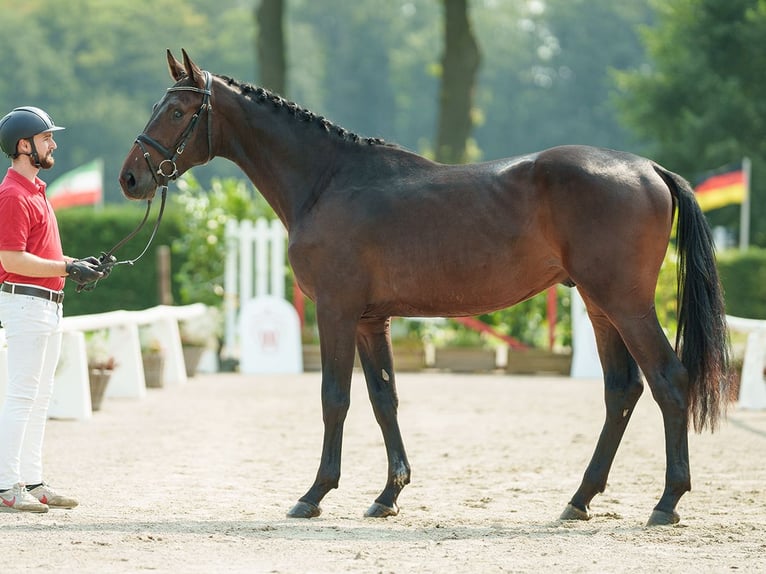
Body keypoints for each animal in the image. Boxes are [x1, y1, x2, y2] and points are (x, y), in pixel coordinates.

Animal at [120, 49, 732, 528]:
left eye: (176, 110)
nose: (130, 178)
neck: (328, 181)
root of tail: (650, 169)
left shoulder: (336, 312)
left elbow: (335, 398)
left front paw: (314, 494)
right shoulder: (371, 320)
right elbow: (384, 398)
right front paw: (387, 494)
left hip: (625, 304)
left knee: (669, 380)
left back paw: (666, 502)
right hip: (599, 306)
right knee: (621, 390)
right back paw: (579, 500)